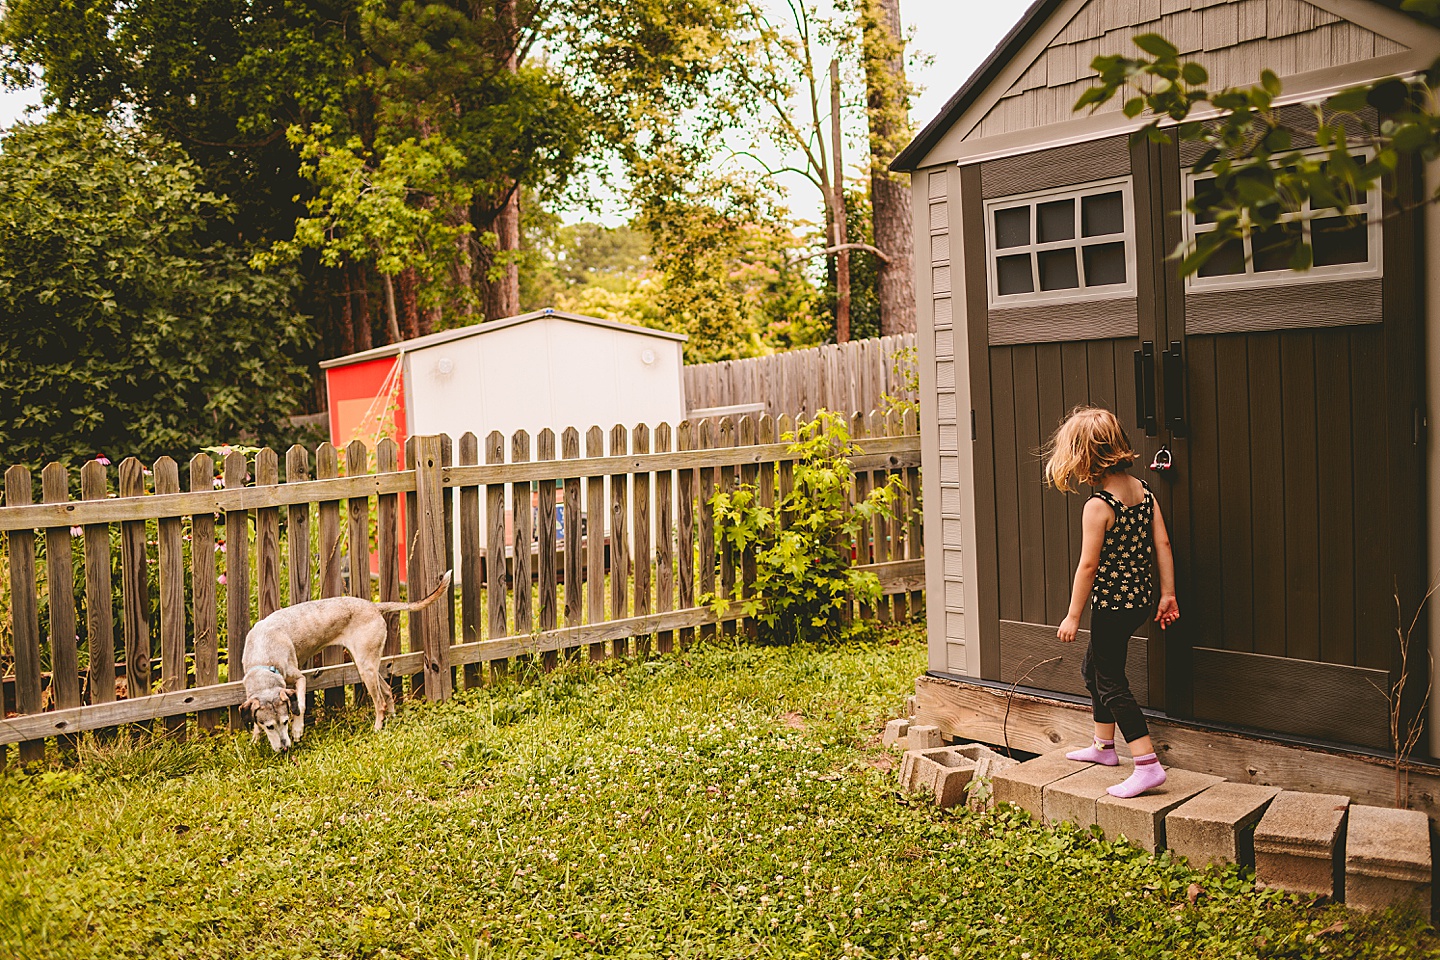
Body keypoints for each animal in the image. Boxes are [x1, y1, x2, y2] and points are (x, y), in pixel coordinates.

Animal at [239, 569, 449, 748]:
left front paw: (298, 729)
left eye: (284, 722)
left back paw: (377, 728)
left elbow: (301, 704)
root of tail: (373, 606)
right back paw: (392, 718)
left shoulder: (299, 678)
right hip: (365, 664)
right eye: (269, 726)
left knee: (379, 701)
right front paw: (255, 739)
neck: (263, 658)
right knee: (388, 690)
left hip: (365, 667)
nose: (284, 747)